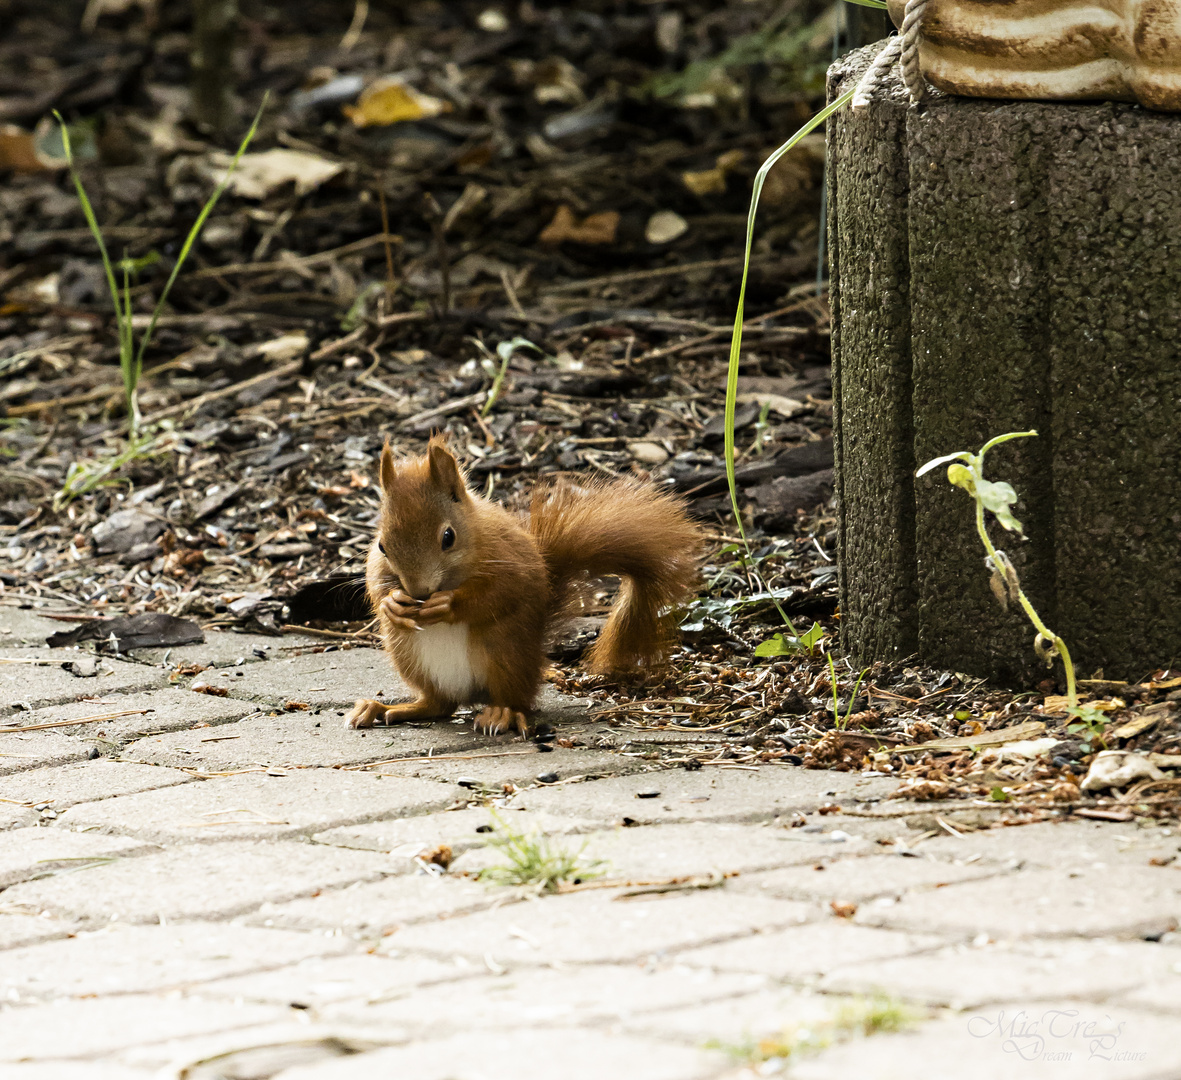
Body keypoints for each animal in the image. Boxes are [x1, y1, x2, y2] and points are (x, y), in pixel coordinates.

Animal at [349, 434, 699, 732]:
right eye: (382, 545)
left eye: (448, 537)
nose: (419, 592)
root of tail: (471, 695)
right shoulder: (378, 565)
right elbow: (375, 583)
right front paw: (392, 603)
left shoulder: (511, 560)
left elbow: (503, 591)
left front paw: (448, 604)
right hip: (409, 654)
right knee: (439, 705)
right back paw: (386, 709)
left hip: (504, 652)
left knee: (516, 701)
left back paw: (500, 714)